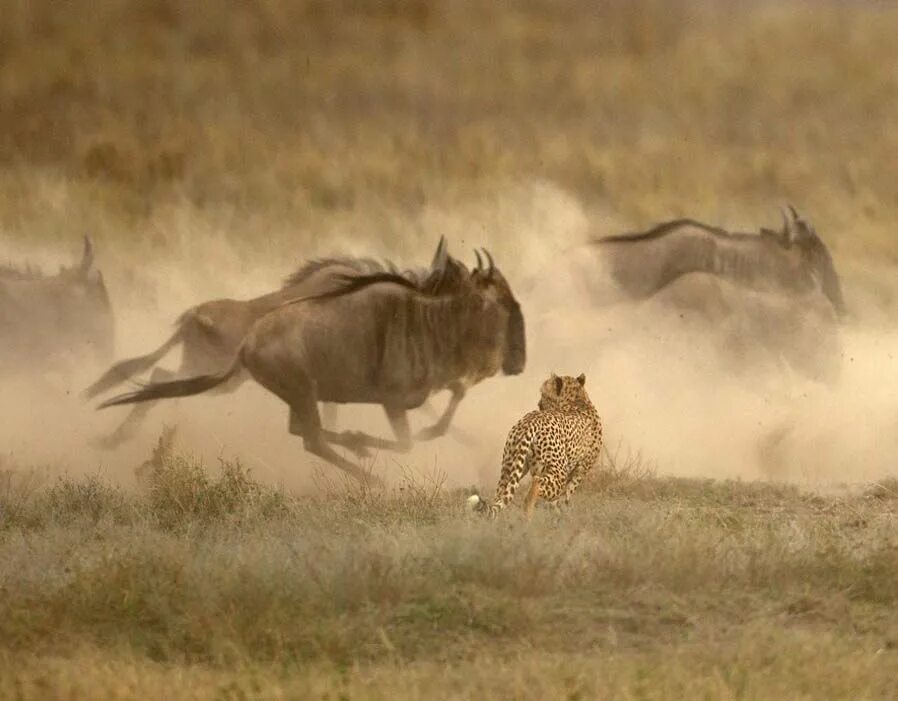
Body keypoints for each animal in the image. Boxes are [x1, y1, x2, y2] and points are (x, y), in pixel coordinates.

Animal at [468, 372, 600, 520]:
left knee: (500, 496)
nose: (539, 404)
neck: (576, 400)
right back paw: (528, 519)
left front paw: (557, 515)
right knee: (534, 487)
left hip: (510, 467)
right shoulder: (580, 470)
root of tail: (529, 422)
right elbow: (566, 496)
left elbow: (555, 502)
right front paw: (564, 514)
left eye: (543, 393)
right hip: (558, 472)